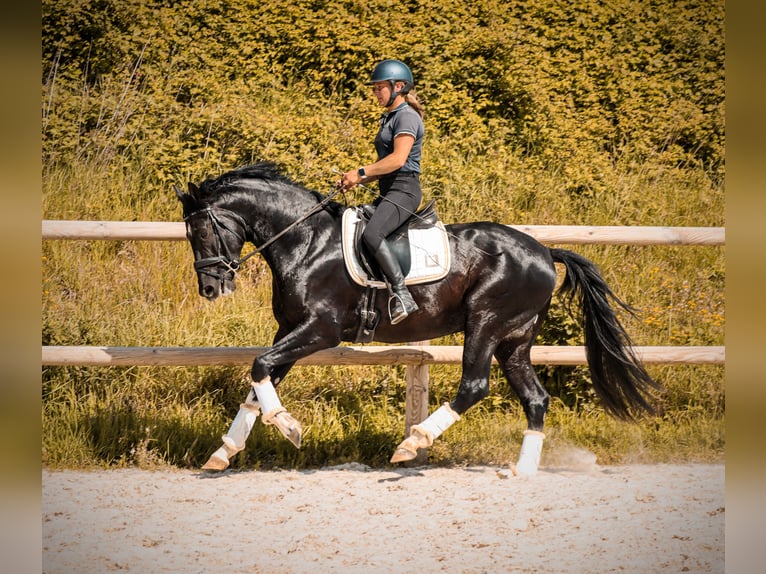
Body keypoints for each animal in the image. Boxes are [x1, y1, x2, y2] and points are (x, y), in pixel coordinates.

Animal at [175, 161, 660, 475]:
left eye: (201, 230)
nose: (210, 289)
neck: (306, 241)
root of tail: (544, 251)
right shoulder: (291, 330)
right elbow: (259, 382)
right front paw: (225, 453)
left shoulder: (320, 330)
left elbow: (260, 367)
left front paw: (289, 427)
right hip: (514, 340)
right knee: (536, 398)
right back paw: (523, 471)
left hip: (486, 323)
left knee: (474, 386)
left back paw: (412, 444)